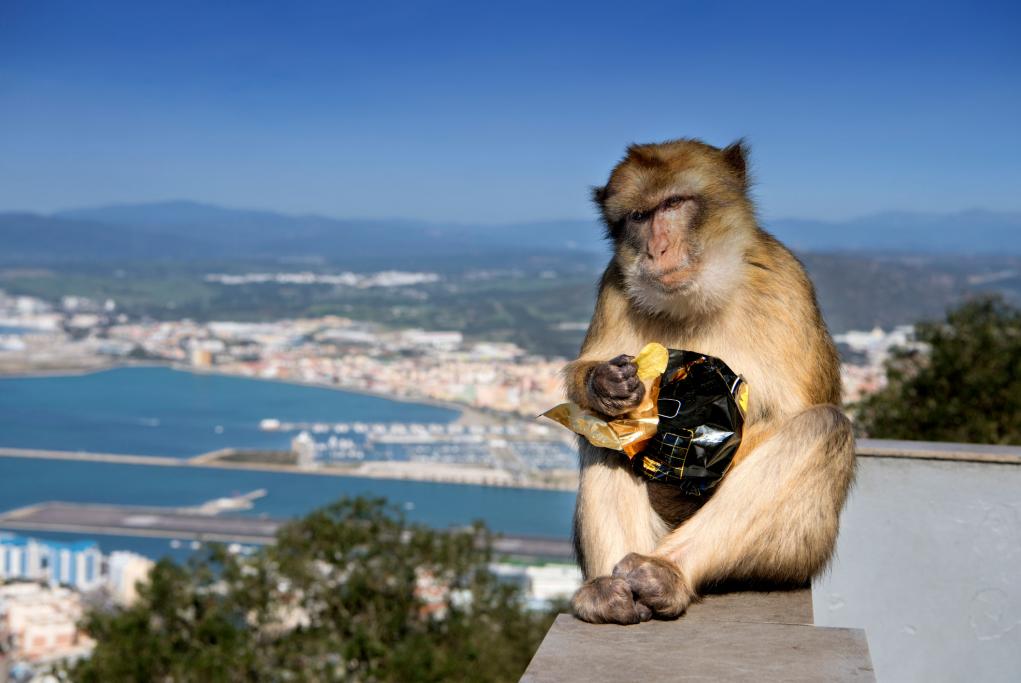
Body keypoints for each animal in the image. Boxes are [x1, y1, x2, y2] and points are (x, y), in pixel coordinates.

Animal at [565, 138, 856, 625]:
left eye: (674, 204)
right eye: (639, 216)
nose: (657, 249)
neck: (698, 298)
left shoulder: (783, 283)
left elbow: (795, 411)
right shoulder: (614, 285)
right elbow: (588, 386)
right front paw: (606, 385)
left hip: (800, 550)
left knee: (823, 426)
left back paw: (666, 573)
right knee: (602, 432)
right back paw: (608, 590)